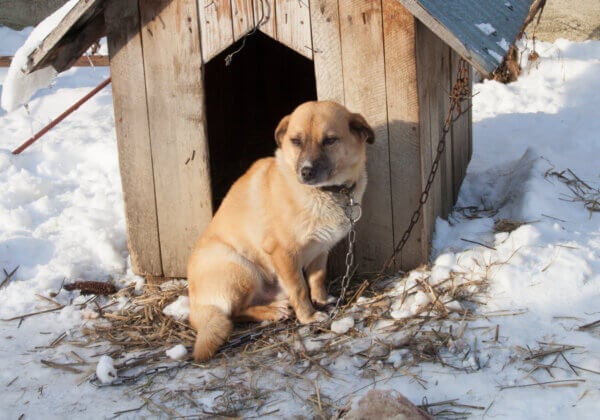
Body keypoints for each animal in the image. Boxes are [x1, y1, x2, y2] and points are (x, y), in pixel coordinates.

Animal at [188, 100, 376, 360]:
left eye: (330, 140)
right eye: (296, 141)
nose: (305, 172)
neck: (325, 193)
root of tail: (195, 306)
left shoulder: (321, 251)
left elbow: (317, 279)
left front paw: (321, 300)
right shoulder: (283, 253)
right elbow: (299, 288)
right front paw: (309, 316)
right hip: (240, 267)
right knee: (234, 314)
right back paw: (273, 312)